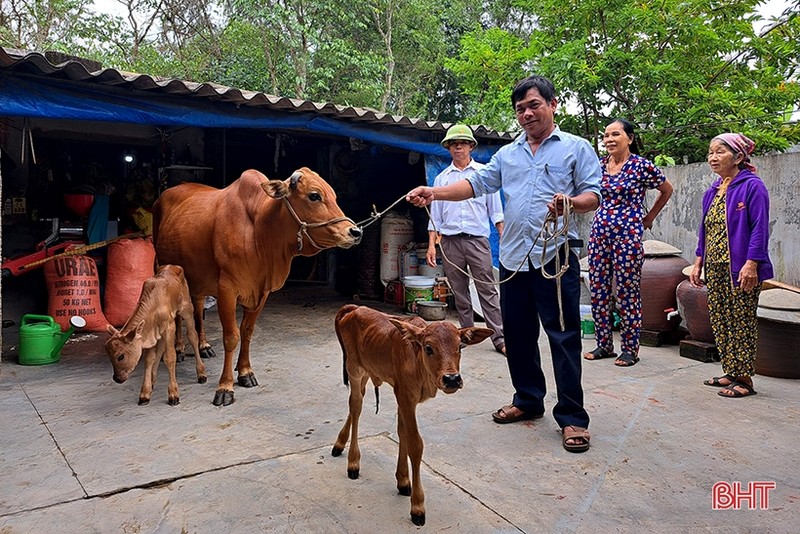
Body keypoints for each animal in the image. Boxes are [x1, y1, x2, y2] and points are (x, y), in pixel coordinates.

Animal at [104, 264, 208, 406]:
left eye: (120, 356)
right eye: (109, 357)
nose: (117, 378)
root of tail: (173, 266)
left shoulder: (169, 327)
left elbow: (170, 357)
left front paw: (173, 394)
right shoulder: (151, 334)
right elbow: (149, 359)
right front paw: (145, 393)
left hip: (187, 309)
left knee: (192, 336)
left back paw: (201, 373)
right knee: (160, 350)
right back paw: (153, 381)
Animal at [153, 170, 360, 408]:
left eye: (334, 196)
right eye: (314, 195)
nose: (355, 231)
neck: (259, 231)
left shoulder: (261, 292)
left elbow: (247, 331)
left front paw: (245, 372)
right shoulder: (227, 289)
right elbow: (231, 337)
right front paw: (225, 387)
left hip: (198, 280)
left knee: (196, 309)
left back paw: (203, 346)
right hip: (166, 269)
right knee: (178, 316)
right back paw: (178, 349)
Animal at [332, 306, 494, 528]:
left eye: (460, 347)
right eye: (428, 348)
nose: (452, 379)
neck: (419, 364)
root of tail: (355, 308)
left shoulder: (403, 397)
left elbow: (403, 434)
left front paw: (403, 481)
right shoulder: (406, 397)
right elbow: (415, 444)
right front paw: (417, 506)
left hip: (366, 371)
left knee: (356, 402)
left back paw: (339, 443)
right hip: (354, 368)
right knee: (355, 407)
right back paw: (353, 462)